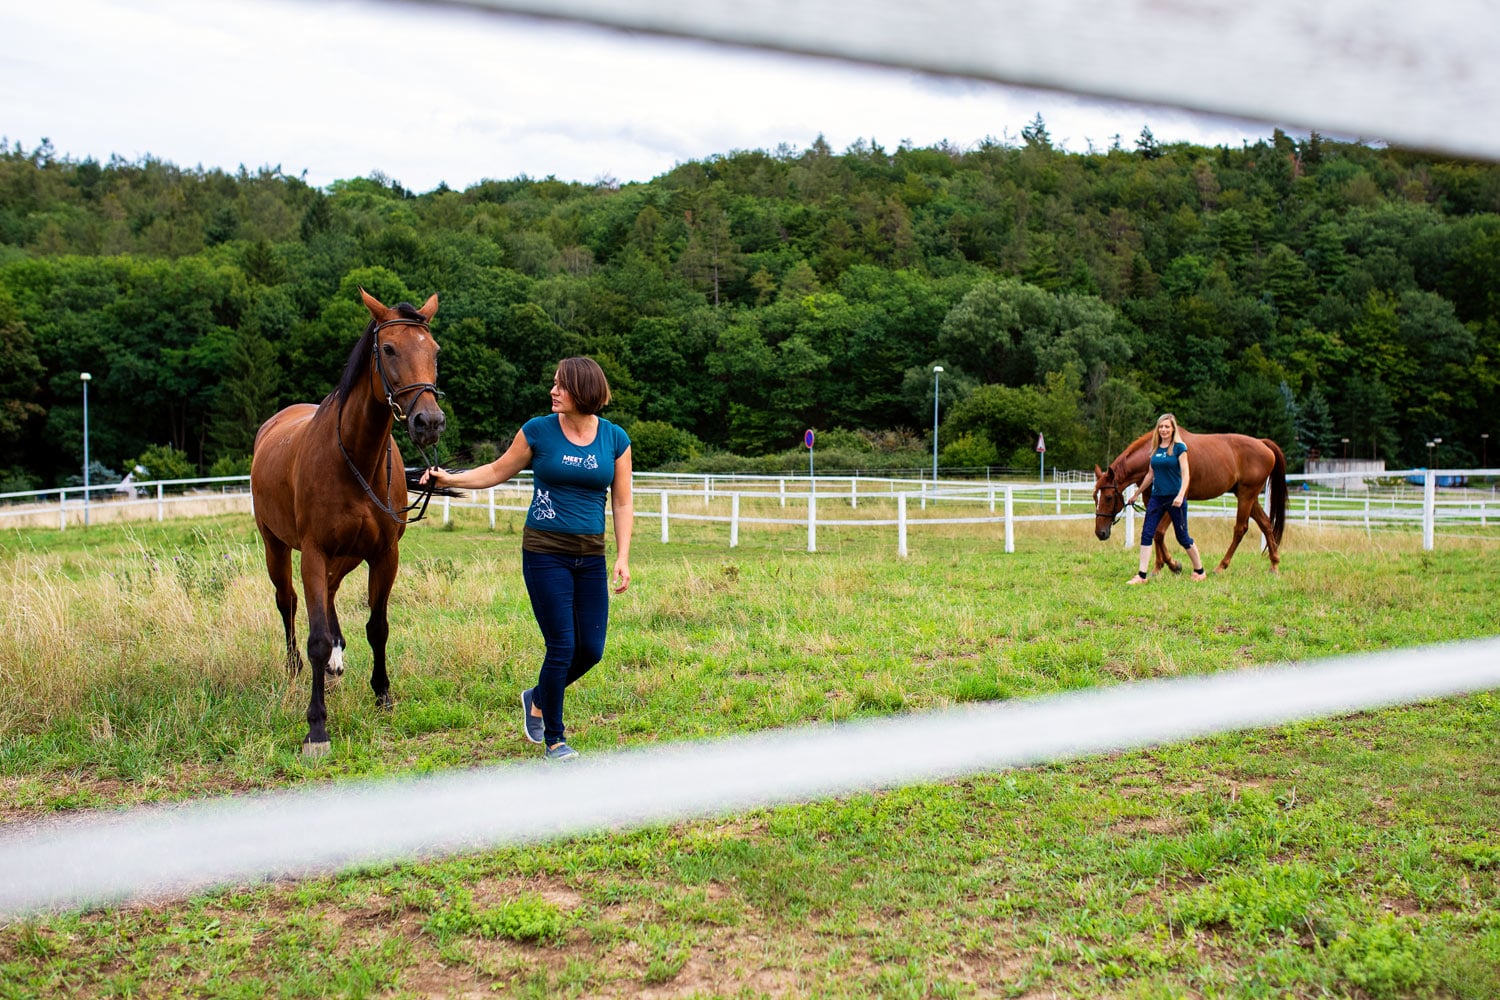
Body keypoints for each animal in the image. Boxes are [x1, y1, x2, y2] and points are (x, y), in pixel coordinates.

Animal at [246, 293, 441, 755]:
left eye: (434, 351)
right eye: (388, 349)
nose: (428, 422)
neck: (354, 458)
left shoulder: (384, 554)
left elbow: (378, 627)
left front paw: (382, 694)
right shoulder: (314, 553)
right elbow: (315, 636)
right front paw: (316, 726)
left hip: (346, 555)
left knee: (331, 594)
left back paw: (337, 659)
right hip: (276, 547)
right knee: (288, 603)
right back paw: (295, 667)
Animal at [1092, 425, 1290, 575]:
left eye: (1108, 497)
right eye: (1095, 497)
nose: (1100, 533)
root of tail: (1262, 443)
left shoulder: (1176, 500)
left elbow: (1159, 532)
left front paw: (1173, 565)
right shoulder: (1152, 499)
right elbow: (1154, 532)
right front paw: (1160, 566)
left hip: (1246, 495)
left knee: (1240, 529)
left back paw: (1221, 566)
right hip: (1248, 496)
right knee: (1266, 524)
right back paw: (1274, 564)